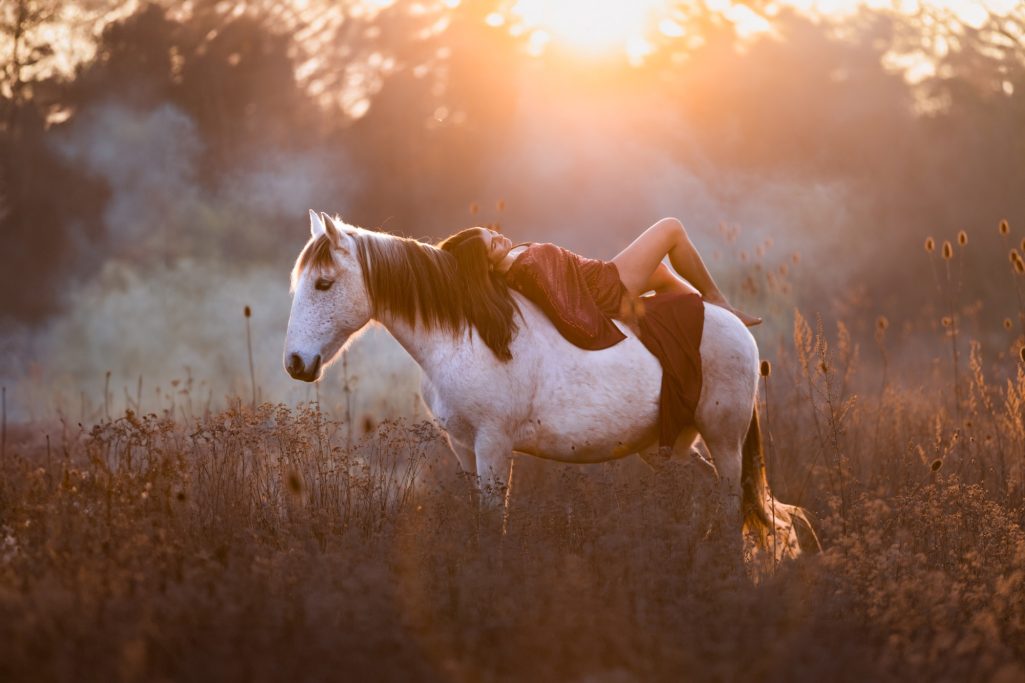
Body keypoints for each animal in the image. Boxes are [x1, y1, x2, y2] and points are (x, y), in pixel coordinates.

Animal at [284, 210, 820, 563]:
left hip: (725, 440)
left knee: (733, 506)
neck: (466, 335)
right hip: (669, 447)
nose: (296, 363)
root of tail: (737, 328)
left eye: (324, 284)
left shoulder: (494, 445)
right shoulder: (462, 446)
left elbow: (492, 522)